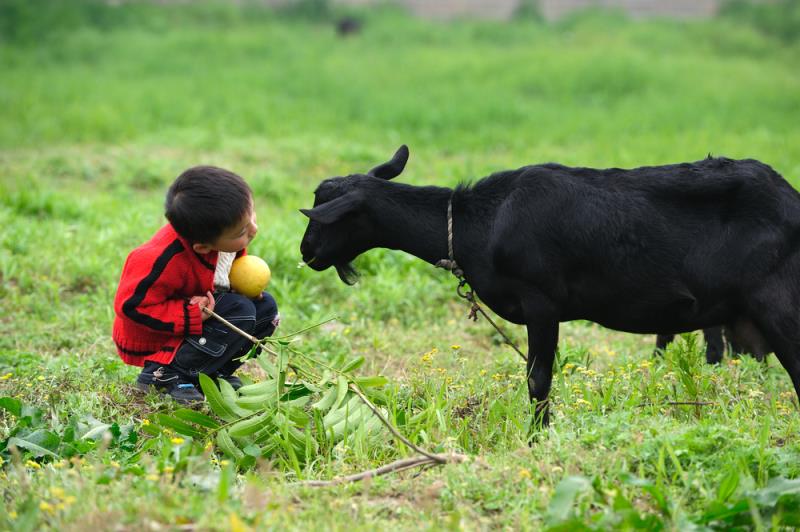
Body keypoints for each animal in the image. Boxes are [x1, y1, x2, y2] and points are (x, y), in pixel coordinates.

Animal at [298, 145, 800, 428]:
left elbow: (537, 379)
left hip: (778, 304)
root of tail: (790, 198)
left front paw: (537, 436)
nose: (306, 252)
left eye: (326, 212)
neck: (481, 222)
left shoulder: (541, 302)